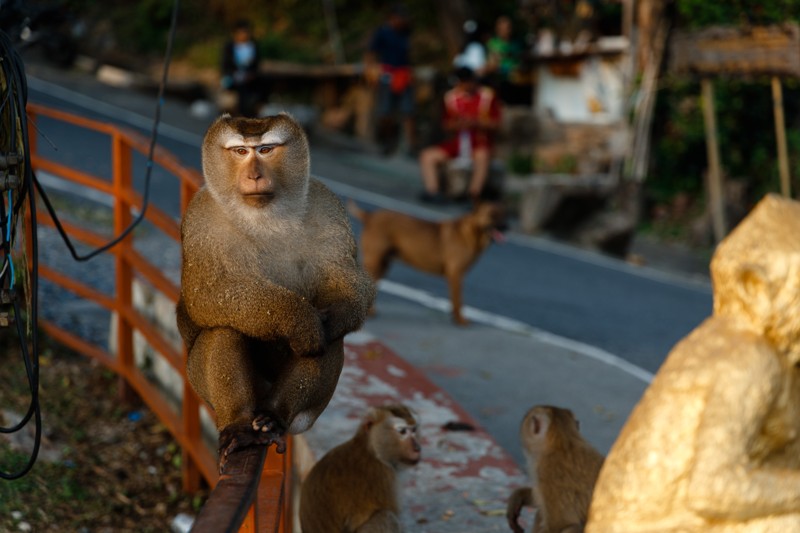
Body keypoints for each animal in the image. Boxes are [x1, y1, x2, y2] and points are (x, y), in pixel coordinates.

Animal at [175, 112, 376, 470]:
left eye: (266, 150)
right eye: (241, 151)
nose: (255, 175)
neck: (264, 216)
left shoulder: (329, 208)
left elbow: (346, 284)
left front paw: (327, 317)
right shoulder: (201, 219)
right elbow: (208, 295)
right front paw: (299, 320)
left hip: (306, 411)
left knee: (331, 341)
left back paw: (274, 416)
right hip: (201, 382)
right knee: (224, 330)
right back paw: (240, 425)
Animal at [300, 404, 422, 532]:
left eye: (414, 430)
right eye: (403, 431)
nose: (417, 448)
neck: (371, 449)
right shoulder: (384, 476)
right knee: (387, 517)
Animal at [346, 200, 506, 324]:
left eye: (504, 214)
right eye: (492, 215)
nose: (506, 227)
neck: (471, 232)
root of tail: (369, 216)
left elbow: (454, 301)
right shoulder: (456, 275)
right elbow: (458, 300)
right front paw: (460, 320)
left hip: (383, 265)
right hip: (375, 262)